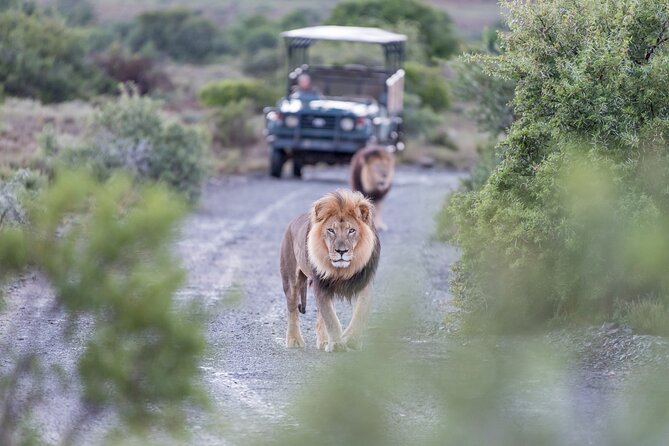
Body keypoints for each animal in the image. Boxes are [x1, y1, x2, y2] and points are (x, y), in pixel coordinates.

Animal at [278, 188, 380, 352]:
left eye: (352, 230)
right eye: (331, 230)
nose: (341, 251)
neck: (343, 270)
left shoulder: (363, 284)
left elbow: (359, 314)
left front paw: (350, 340)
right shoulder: (321, 286)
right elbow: (331, 318)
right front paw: (337, 344)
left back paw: (324, 341)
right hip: (290, 279)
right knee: (292, 310)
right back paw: (294, 340)